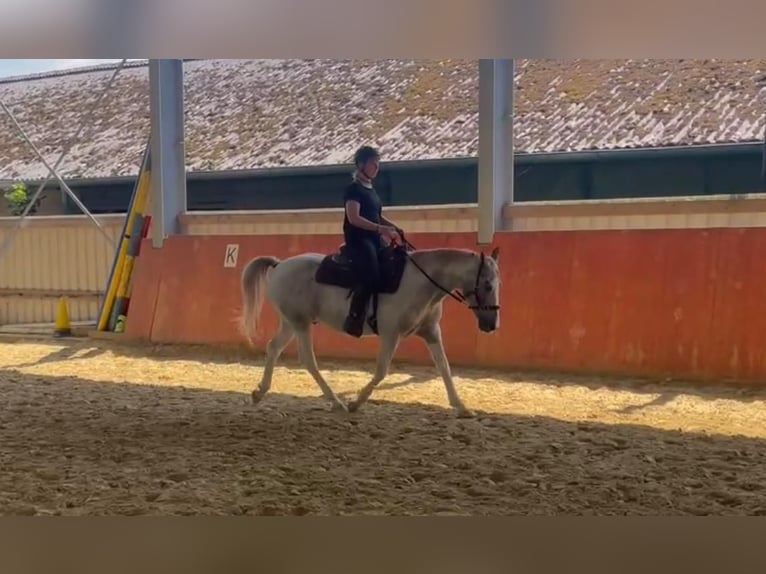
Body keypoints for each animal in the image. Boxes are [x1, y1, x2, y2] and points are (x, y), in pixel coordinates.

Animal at [240, 243, 504, 418]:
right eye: (487, 284)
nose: (491, 325)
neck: (421, 282)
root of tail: (280, 264)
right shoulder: (391, 334)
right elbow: (381, 371)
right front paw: (356, 403)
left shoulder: (431, 332)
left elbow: (445, 368)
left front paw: (462, 406)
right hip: (300, 323)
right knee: (308, 360)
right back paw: (337, 402)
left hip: (291, 322)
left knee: (274, 348)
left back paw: (260, 392)